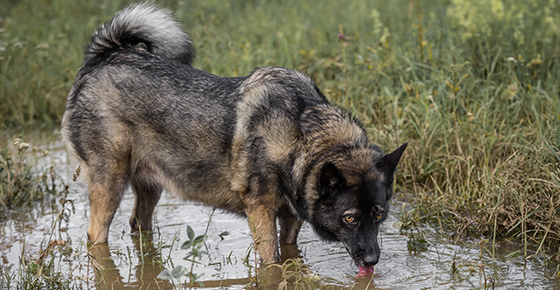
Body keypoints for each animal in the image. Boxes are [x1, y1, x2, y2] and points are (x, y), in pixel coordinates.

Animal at [61, 2, 406, 274]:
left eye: (379, 215)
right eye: (350, 218)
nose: (372, 261)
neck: (299, 134)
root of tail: (104, 57)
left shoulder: (290, 218)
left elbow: (290, 254)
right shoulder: (261, 213)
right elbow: (271, 263)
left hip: (151, 186)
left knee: (138, 227)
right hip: (109, 186)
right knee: (95, 237)